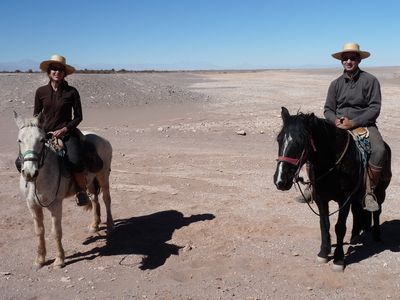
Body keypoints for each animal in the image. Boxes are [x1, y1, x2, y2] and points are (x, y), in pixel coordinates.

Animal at [14, 111, 114, 268]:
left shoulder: (56, 205)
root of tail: (102, 139)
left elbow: (56, 232)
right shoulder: (32, 205)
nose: (30, 173)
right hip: (90, 181)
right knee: (94, 198)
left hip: (103, 175)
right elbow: (39, 231)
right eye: (20, 140)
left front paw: (59, 259)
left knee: (106, 199)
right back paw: (94, 225)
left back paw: (110, 226)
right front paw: (40, 259)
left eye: (41, 140)